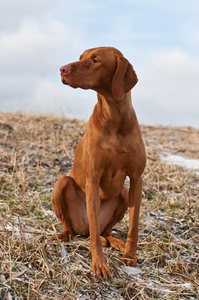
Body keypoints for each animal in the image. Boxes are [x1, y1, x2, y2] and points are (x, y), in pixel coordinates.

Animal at [50, 46, 145, 278]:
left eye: (95, 60)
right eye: (81, 57)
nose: (62, 69)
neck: (115, 117)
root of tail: (80, 229)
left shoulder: (136, 179)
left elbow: (134, 226)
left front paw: (130, 256)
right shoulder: (93, 179)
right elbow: (94, 233)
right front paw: (99, 264)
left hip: (122, 194)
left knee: (104, 231)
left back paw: (114, 241)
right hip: (62, 185)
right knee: (78, 229)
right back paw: (63, 236)